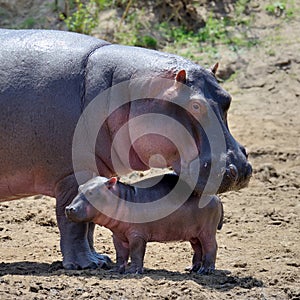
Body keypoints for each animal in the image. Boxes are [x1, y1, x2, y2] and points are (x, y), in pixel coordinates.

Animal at [65, 173, 223, 274]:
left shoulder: (137, 235)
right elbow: (120, 254)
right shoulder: (118, 235)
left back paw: (206, 271)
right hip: (193, 234)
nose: (68, 208)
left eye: (91, 192)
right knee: (198, 249)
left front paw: (133, 272)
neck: (121, 198)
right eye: (79, 188)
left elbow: (136, 252)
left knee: (211, 246)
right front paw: (116, 270)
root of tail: (216, 197)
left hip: (207, 231)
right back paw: (191, 269)